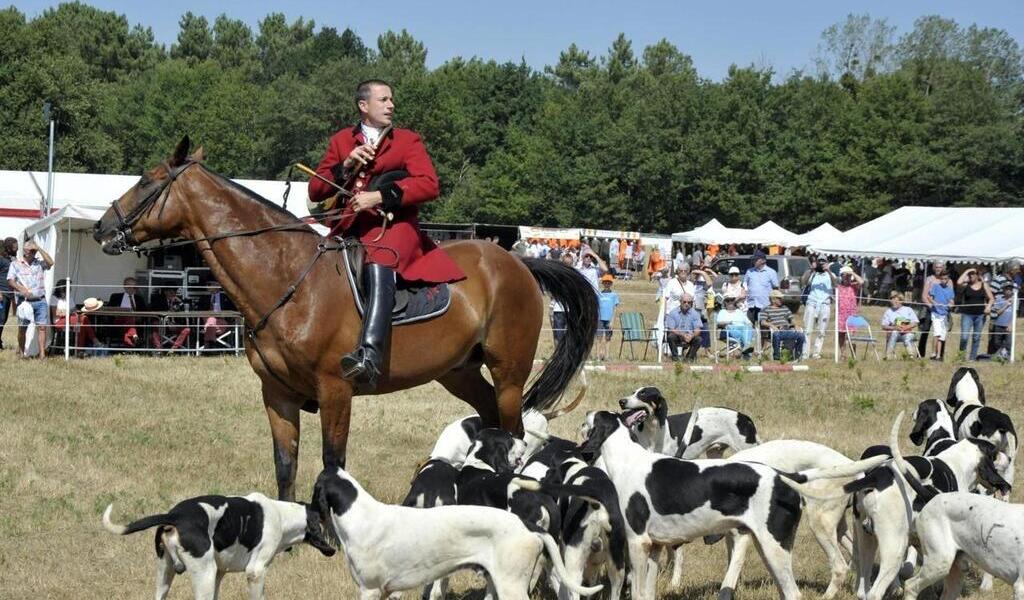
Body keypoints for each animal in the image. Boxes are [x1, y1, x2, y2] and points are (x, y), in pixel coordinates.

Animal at [94, 138, 598, 497]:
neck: (288, 278)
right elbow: (286, 464)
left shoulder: (335, 391)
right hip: (459, 372)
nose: (102, 227)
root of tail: (516, 262)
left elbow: (332, 462)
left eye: (147, 181)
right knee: (491, 423)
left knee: (513, 432)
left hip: (509, 372)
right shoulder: (277, 393)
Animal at [100, 493, 331, 593]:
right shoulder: (255, 573)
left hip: (166, 574)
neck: (282, 515)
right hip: (204, 574)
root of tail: (174, 516)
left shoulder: (220, 574)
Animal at [577, 411, 888, 597]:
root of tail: (785, 476)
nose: (583, 417)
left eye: (591, 418)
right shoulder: (654, 548)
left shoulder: (637, 544)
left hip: (778, 546)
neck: (626, 459)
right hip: (771, 549)